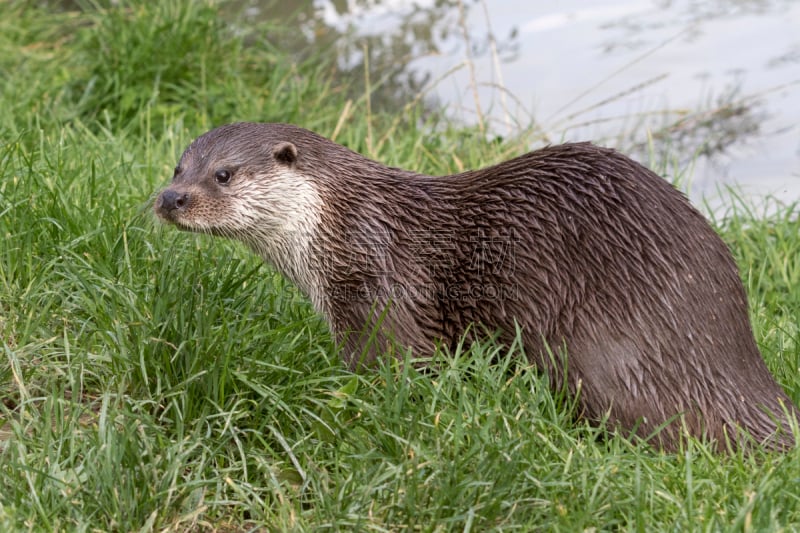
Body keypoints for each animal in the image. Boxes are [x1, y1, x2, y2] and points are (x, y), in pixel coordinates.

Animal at [153, 120, 796, 448]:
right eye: (178, 166)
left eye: (224, 174)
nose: (170, 198)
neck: (343, 226)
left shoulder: (380, 293)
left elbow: (393, 371)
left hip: (597, 350)